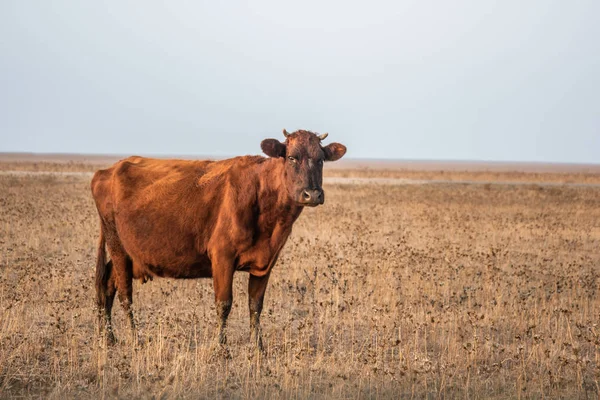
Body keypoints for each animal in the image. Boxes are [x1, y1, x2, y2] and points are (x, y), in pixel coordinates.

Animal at [92, 130, 350, 350]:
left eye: (321, 160)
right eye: (292, 157)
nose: (312, 194)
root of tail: (108, 170)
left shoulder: (266, 262)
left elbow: (255, 306)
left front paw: (258, 348)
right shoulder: (222, 257)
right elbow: (224, 304)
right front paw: (221, 349)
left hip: (126, 255)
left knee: (107, 285)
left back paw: (109, 338)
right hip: (117, 245)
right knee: (125, 295)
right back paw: (133, 339)